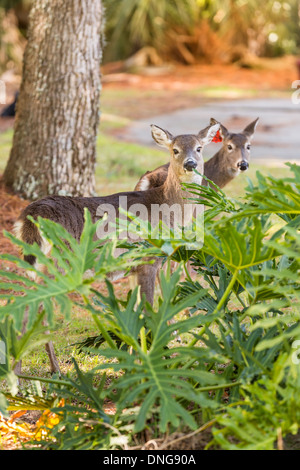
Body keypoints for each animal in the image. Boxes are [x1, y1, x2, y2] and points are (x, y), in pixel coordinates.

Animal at [13, 121, 220, 374]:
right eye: (175, 150)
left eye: (199, 148)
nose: (190, 164)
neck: (165, 207)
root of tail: (30, 216)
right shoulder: (147, 260)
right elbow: (148, 312)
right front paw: (152, 363)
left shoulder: (133, 267)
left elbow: (135, 313)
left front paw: (132, 363)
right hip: (61, 262)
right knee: (27, 308)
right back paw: (22, 376)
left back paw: (54, 370)